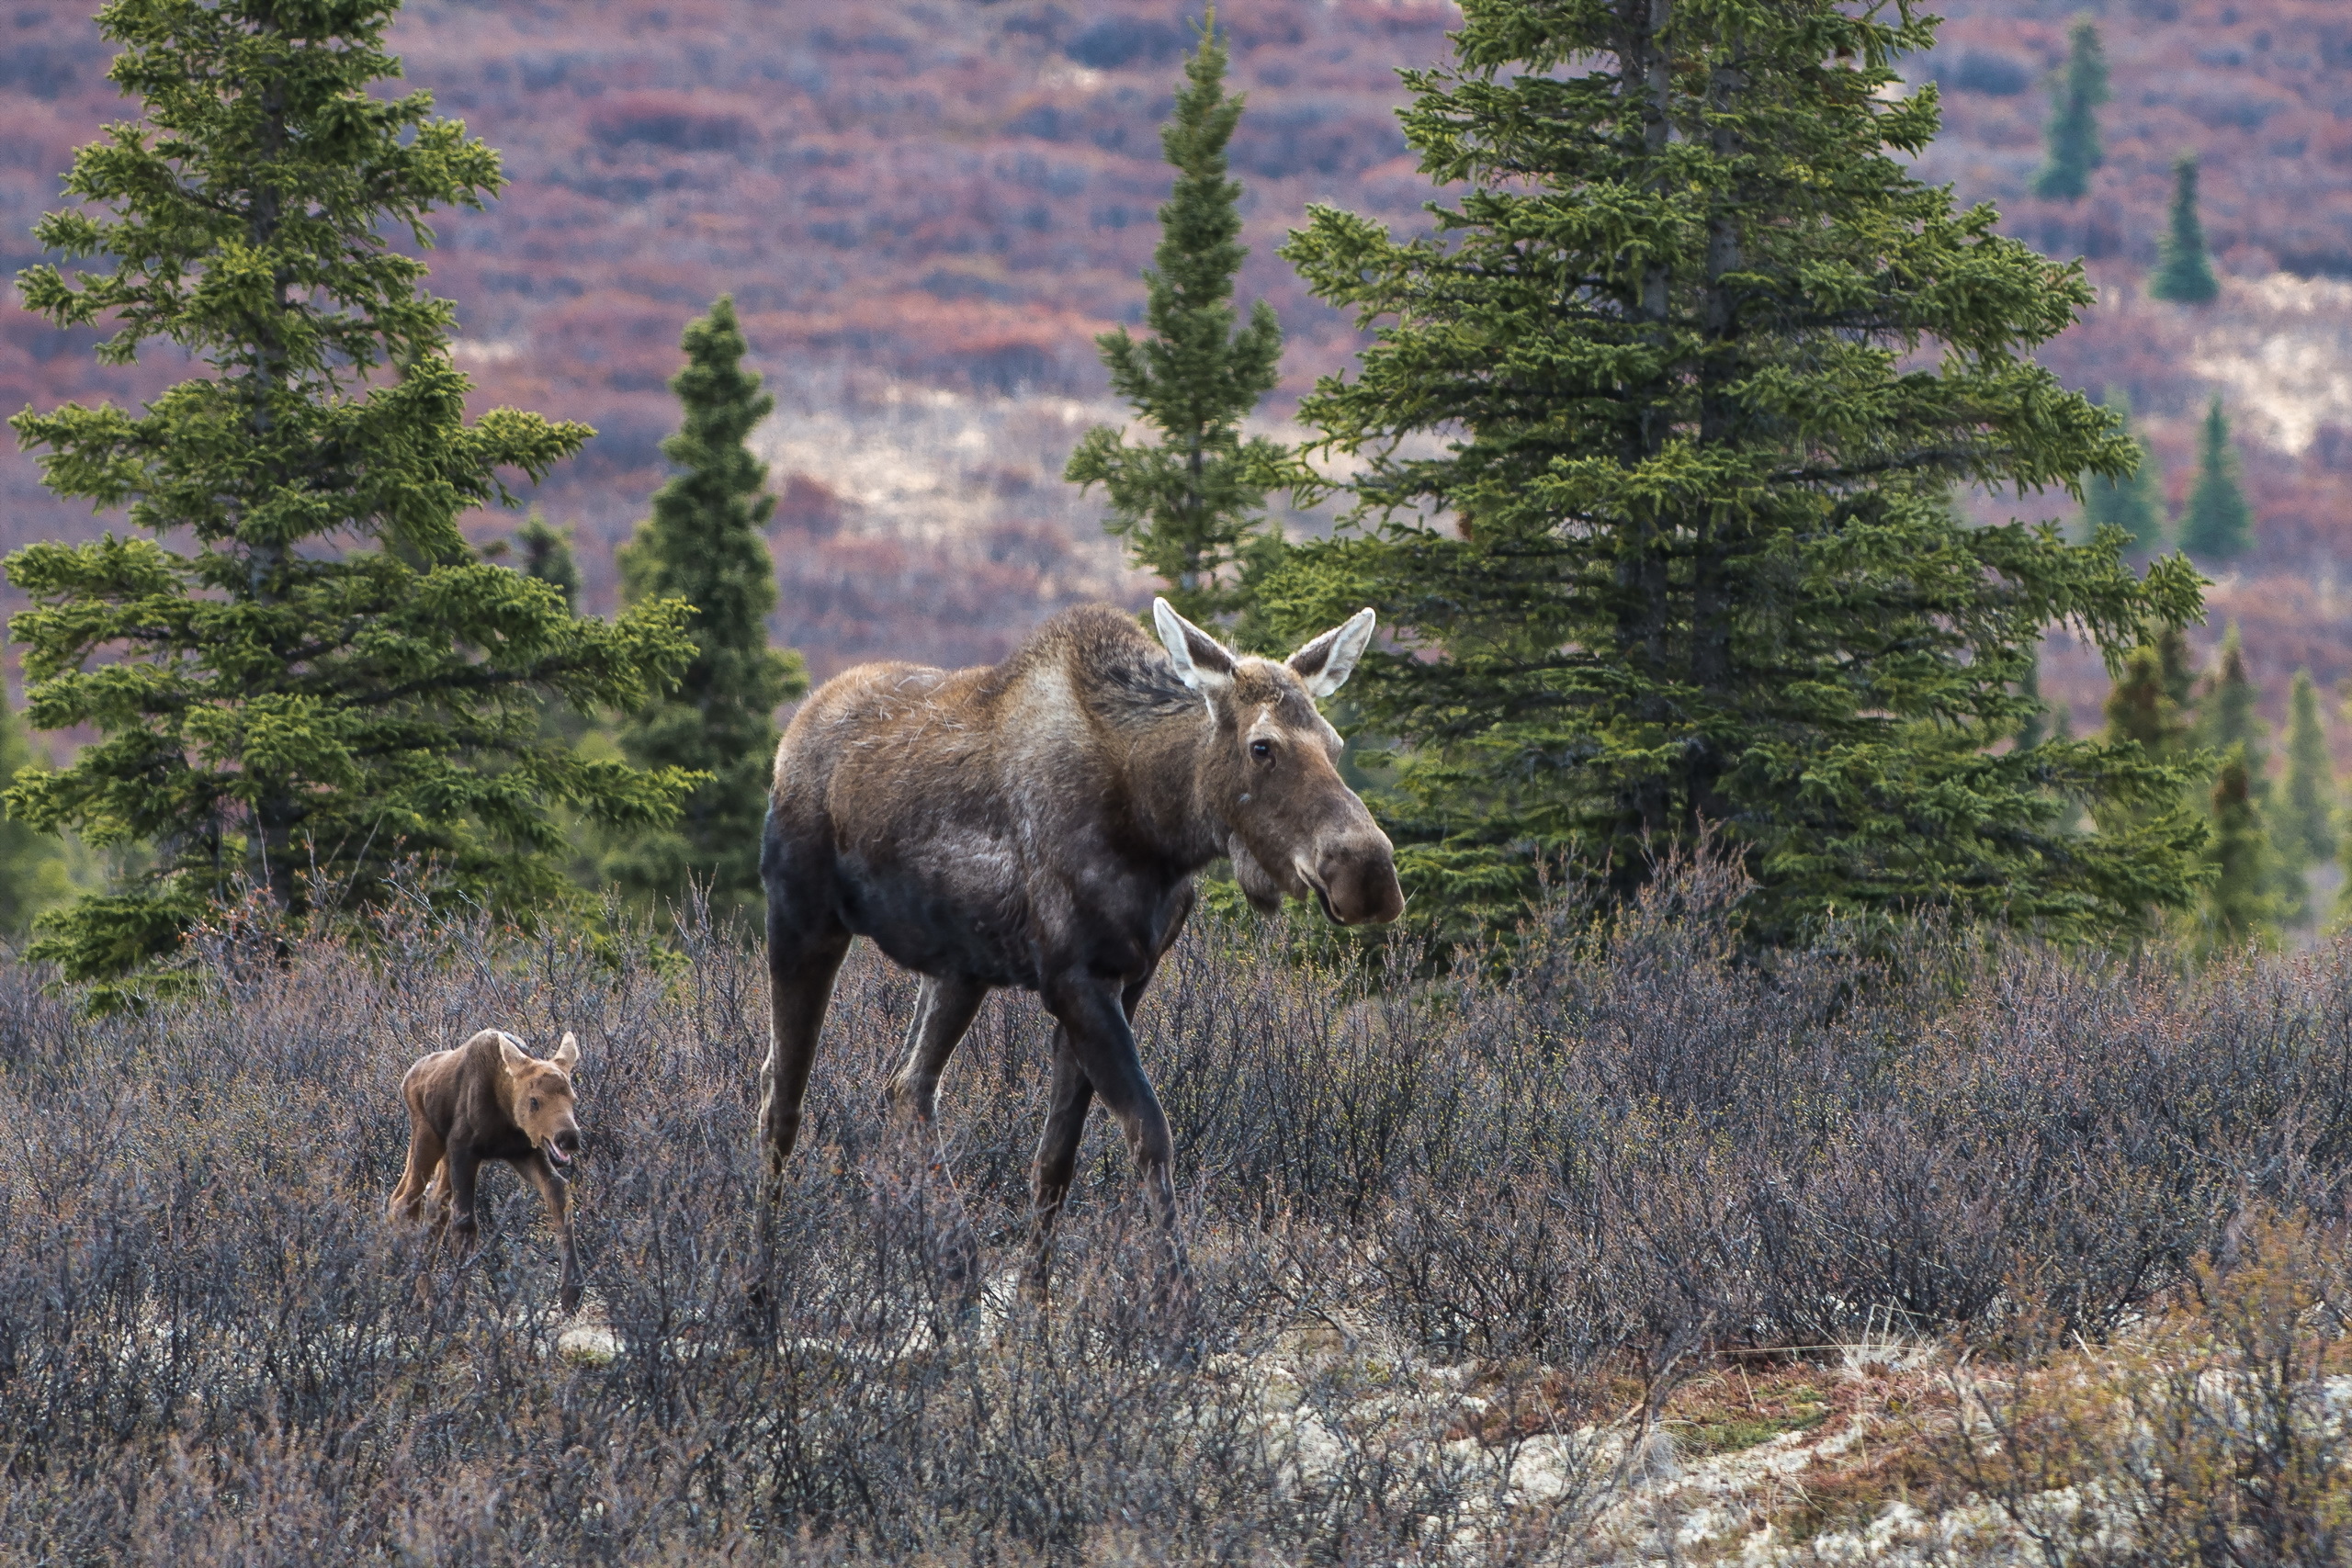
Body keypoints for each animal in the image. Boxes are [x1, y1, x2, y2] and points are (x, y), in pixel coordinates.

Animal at [390, 1029, 582, 1316]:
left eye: (573, 1098)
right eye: (534, 1101)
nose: (568, 1137)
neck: (505, 1113)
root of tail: (408, 1078)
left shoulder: (524, 1151)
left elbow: (558, 1193)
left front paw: (571, 1292)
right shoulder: (463, 1149)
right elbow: (465, 1224)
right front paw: (457, 1307)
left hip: (443, 1153)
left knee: (434, 1201)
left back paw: (418, 1301)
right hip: (427, 1134)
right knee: (403, 1201)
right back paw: (426, 1298)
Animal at [762, 594, 1401, 1297]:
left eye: (1335, 744)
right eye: (1263, 746)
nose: (1369, 872)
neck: (1158, 824)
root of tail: (793, 734)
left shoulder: (1127, 976)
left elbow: (1056, 1157)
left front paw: (1032, 1307)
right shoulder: (1076, 979)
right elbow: (1150, 1132)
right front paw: (1179, 1302)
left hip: (958, 969)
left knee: (905, 1087)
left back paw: (955, 1277)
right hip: (801, 921)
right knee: (781, 1098)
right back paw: (757, 1281)